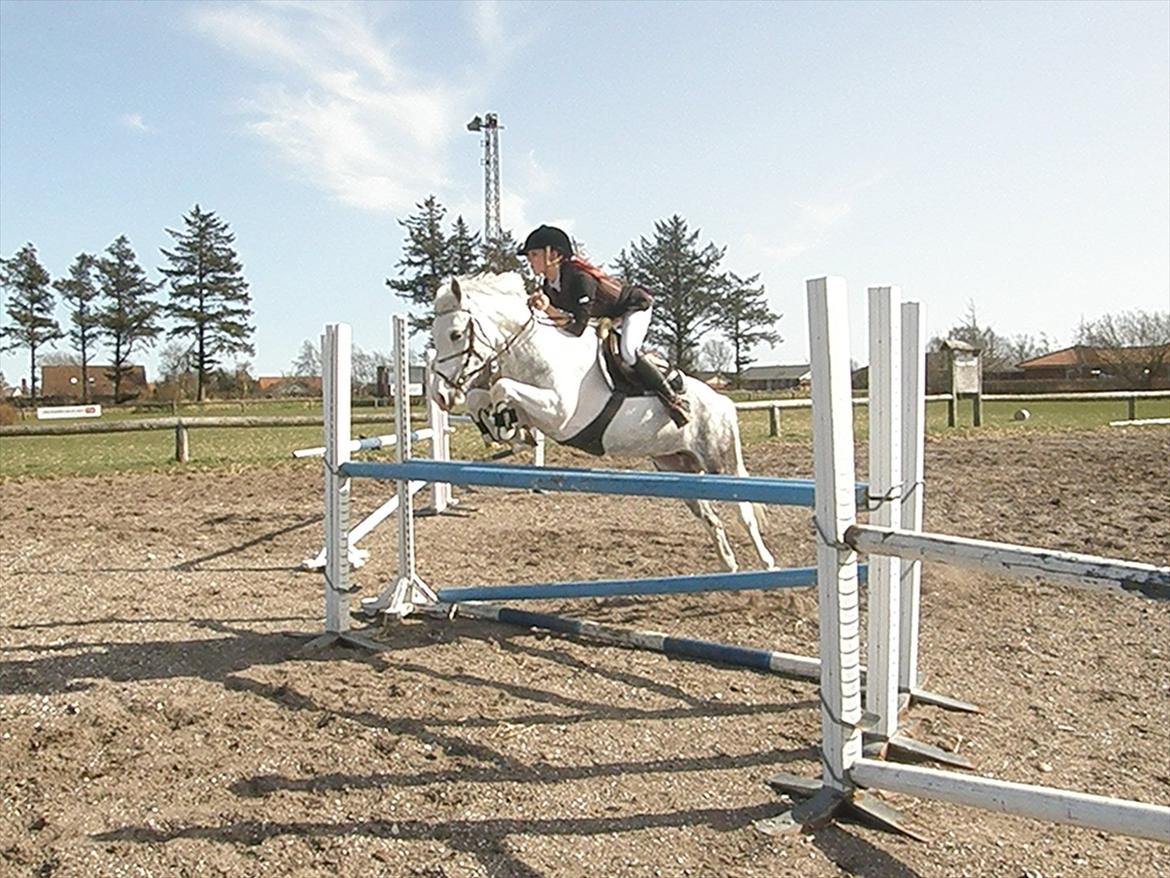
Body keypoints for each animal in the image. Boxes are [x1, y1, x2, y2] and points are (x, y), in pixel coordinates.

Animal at [430, 270, 776, 571]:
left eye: (455, 334)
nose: (440, 395)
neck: (535, 351)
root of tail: (723, 403)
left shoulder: (559, 412)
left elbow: (501, 387)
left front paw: (505, 425)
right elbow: (483, 398)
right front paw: (505, 430)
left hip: (719, 461)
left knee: (744, 511)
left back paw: (767, 563)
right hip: (678, 466)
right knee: (709, 517)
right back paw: (728, 564)